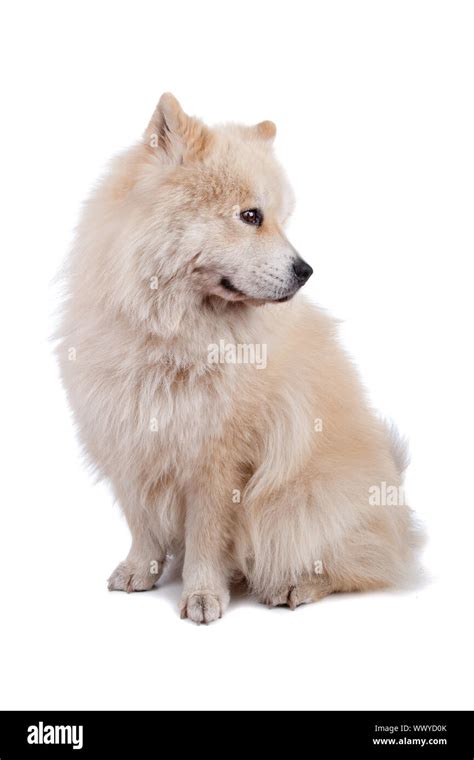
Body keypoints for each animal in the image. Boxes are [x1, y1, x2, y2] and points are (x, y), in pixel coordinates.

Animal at [56, 93, 422, 624]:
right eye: (251, 216)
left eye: (281, 218)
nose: (306, 270)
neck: (173, 332)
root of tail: (397, 496)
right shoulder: (131, 437)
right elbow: (142, 521)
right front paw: (141, 570)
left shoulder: (217, 460)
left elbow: (207, 535)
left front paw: (202, 593)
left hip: (301, 503)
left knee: (350, 563)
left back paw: (295, 585)